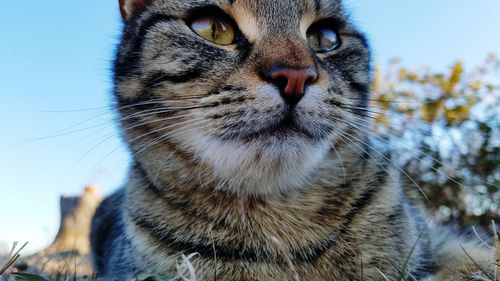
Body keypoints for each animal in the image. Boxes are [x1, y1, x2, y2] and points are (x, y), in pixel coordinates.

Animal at [90, 0, 496, 278]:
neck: (284, 222)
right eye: (211, 28)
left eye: (326, 37)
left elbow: (473, 257)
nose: (296, 76)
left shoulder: (433, 241)